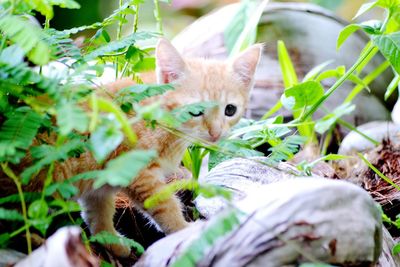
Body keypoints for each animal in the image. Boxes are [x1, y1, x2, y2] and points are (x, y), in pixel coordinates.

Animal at [4, 38, 260, 258]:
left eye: (230, 110)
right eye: (195, 111)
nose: (216, 133)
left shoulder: (100, 179)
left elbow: (97, 213)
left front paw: (112, 242)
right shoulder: (136, 172)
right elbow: (164, 205)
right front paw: (183, 231)